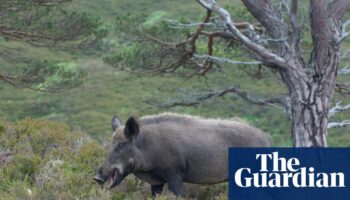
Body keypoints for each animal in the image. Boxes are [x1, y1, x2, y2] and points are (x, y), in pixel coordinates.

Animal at [93, 113, 270, 196]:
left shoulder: (175, 174)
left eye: (121, 145)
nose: (96, 177)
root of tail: (266, 138)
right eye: (110, 143)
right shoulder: (157, 181)